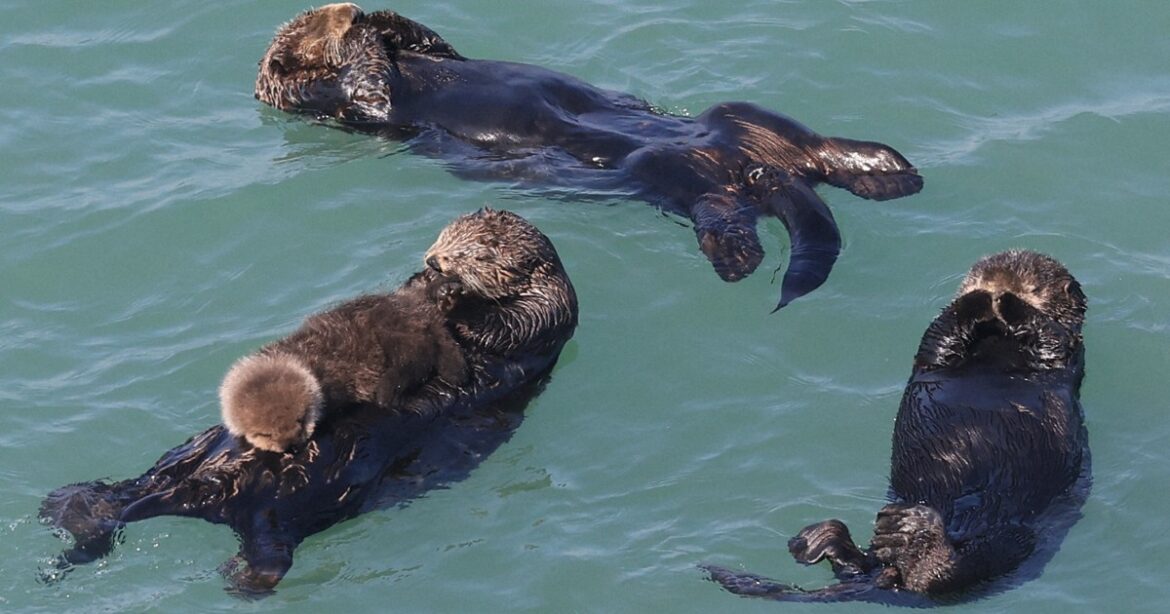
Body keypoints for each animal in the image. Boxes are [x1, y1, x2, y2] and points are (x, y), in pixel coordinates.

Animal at [254, 4, 925, 310]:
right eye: (322, 27)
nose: (345, 10)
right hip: (670, 173)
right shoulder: (342, 105)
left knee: (813, 150)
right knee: (722, 209)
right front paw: (364, 34)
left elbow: (437, 43)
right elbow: (371, 89)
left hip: (741, 119)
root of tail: (756, 167)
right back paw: (739, 258)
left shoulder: (432, 54)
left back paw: (890, 169)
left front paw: (381, 18)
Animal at [705, 250, 1089, 604]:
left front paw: (1007, 303)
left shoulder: (1065, 353)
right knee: (857, 563)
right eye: (978, 276)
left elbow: (1049, 335)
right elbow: (941, 333)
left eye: (1034, 287)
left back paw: (904, 535)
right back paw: (820, 540)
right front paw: (978, 298)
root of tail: (889, 578)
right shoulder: (934, 352)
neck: (996, 344)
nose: (996, 287)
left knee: (946, 576)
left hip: (1016, 538)